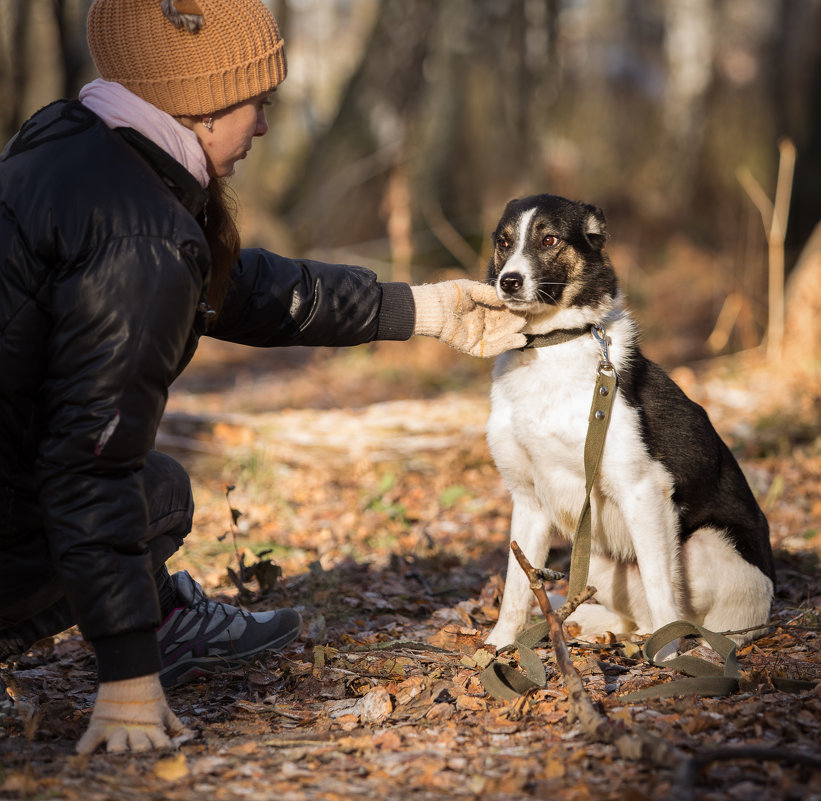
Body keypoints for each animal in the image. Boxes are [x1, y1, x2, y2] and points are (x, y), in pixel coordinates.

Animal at [484, 194, 772, 648]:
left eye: (549, 240)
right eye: (503, 242)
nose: (509, 281)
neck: (551, 347)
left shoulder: (643, 490)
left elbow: (659, 587)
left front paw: (668, 656)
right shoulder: (529, 501)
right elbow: (517, 586)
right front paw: (498, 647)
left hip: (701, 545)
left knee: (679, 612)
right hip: (599, 559)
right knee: (632, 617)